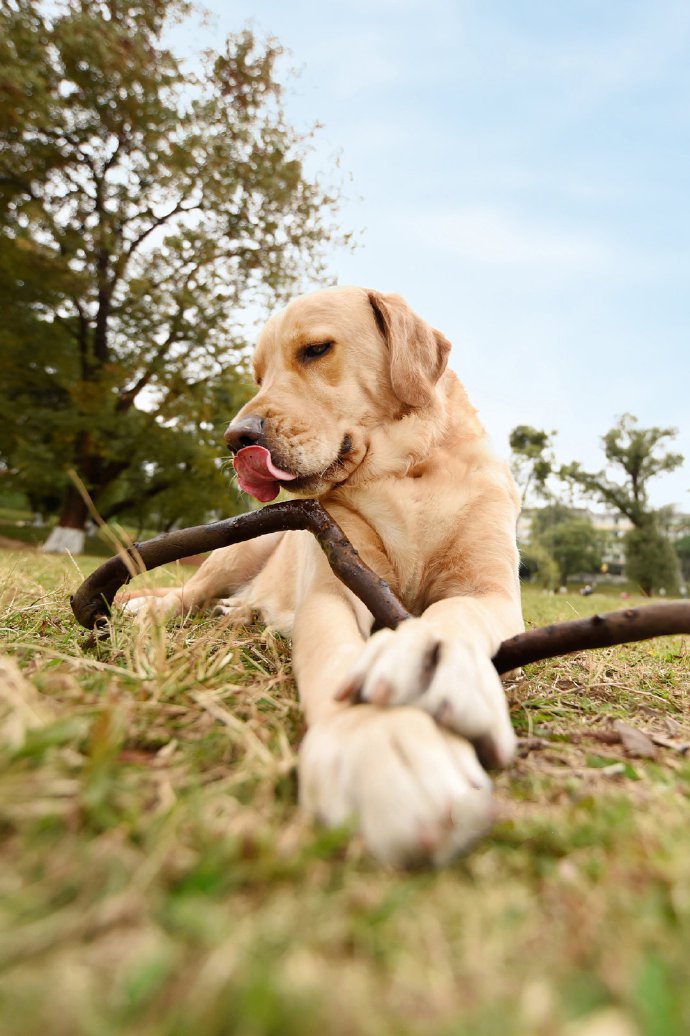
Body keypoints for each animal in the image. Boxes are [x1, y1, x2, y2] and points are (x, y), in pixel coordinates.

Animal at [124, 285, 522, 866]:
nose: (236, 438)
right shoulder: (332, 589)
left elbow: (458, 609)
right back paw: (154, 607)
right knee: (189, 592)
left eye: (315, 350)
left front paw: (431, 654)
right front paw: (377, 740)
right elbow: (335, 659)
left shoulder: (491, 590)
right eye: (257, 374)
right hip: (249, 542)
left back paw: (241, 612)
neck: (405, 473)